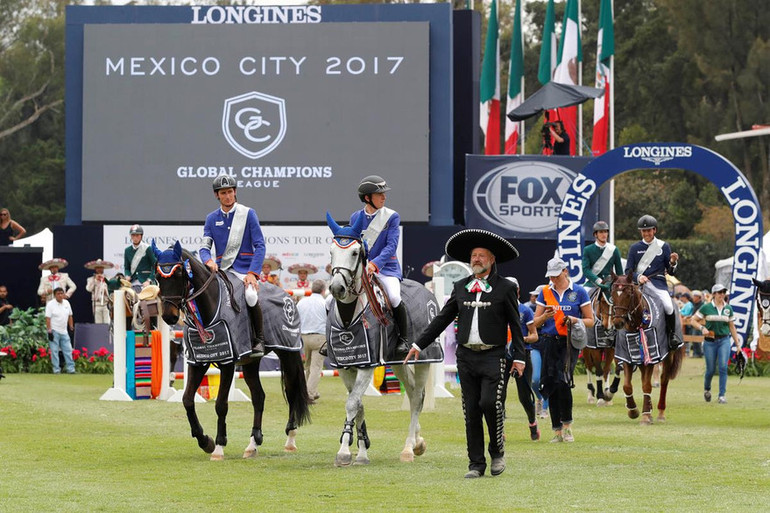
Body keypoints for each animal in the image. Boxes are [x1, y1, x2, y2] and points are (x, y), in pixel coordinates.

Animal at [153, 240, 308, 460]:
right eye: (158, 277)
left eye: (180, 274)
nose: (169, 316)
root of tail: (288, 296)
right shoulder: (198, 362)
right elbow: (187, 400)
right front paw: (205, 441)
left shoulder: (227, 363)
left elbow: (221, 405)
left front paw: (218, 447)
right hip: (251, 362)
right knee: (259, 397)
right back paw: (253, 443)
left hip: (288, 353)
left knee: (292, 390)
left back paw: (290, 439)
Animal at [608, 272, 680, 424]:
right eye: (612, 293)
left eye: (628, 294)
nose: (618, 322)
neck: (636, 324)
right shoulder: (627, 357)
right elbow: (627, 386)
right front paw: (633, 411)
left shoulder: (651, 357)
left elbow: (647, 385)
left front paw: (645, 415)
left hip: (668, 356)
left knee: (664, 380)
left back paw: (660, 413)